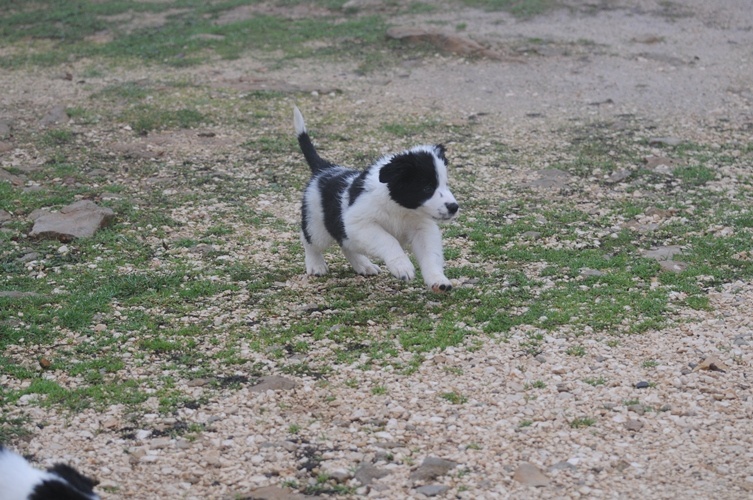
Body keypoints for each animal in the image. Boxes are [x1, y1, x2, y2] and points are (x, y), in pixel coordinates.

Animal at [294, 107, 458, 292]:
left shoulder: (423, 229)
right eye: (427, 188)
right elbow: (388, 240)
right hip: (317, 227)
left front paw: (438, 280)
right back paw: (316, 265)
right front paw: (402, 266)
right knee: (308, 239)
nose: (454, 207)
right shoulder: (360, 224)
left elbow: (431, 255)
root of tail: (323, 169)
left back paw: (364, 265)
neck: (401, 208)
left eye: (445, 184)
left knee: (346, 246)